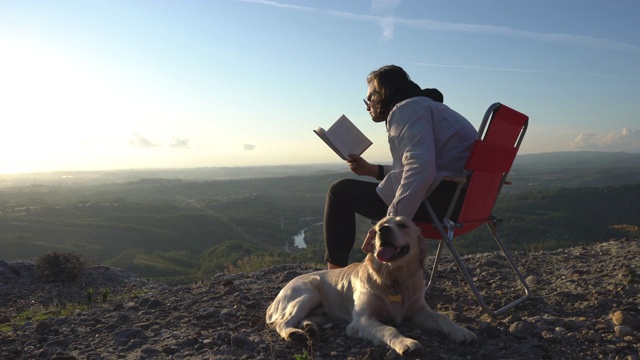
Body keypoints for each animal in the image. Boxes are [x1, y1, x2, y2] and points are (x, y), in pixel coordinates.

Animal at [264, 215, 476, 356]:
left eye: (403, 225)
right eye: (381, 224)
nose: (383, 230)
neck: (393, 277)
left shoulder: (418, 310)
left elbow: (442, 318)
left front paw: (461, 332)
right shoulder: (362, 319)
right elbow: (388, 329)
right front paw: (406, 342)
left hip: (320, 310)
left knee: (303, 319)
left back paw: (309, 328)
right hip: (308, 293)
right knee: (283, 322)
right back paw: (294, 334)